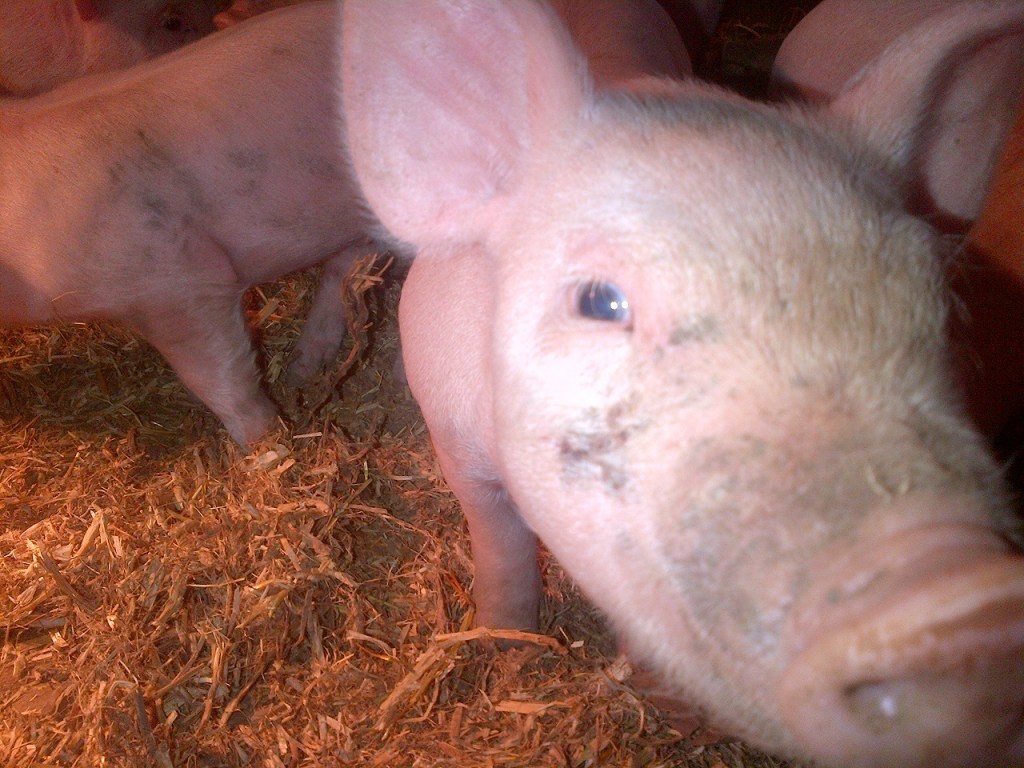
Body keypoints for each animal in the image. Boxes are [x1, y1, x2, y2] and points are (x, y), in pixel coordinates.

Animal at [340, 1, 1024, 767]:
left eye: (930, 297)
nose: (971, 599)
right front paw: (504, 642)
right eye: (600, 302)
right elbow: (499, 542)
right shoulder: (450, 432)